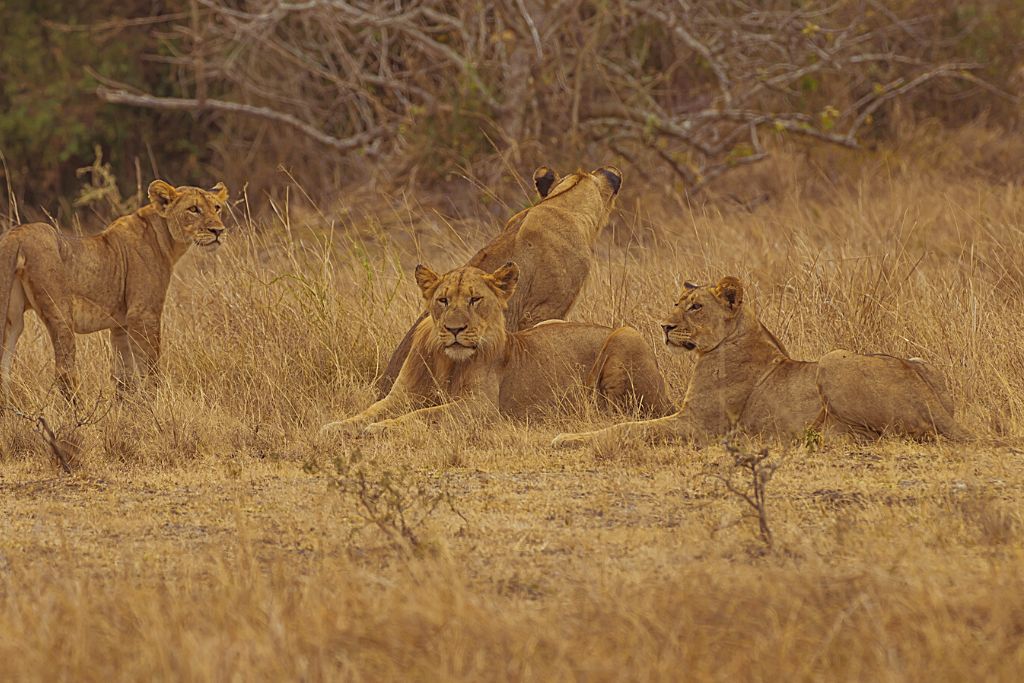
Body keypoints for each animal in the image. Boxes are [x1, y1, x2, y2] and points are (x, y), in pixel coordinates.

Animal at [0, 179, 228, 401]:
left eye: (217, 208)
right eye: (194, 209)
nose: (218, 231)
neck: (167, 239)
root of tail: (16, 234)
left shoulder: (121, 325)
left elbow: (124, 374)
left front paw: (126, 406)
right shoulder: (144, 314)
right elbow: (151, 366)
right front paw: (157, 401)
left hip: (12, 320)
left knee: (4, 369)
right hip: (60, 312)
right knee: (64, 371)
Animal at [319, 262, 671, 432]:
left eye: (475, 299)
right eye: (443, 300)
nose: (455, 329)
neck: (448, 362)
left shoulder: (480, 407)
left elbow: (425, 415)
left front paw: (381, 429)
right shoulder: (401, 396)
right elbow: (369, 411)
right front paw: (337, 427)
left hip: (628, 334)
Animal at [552, 274, 966, 446]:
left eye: (696, 307)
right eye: (677, 304)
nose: (664, 327)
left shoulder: (701, 427)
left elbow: (627, 429)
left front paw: (567, 438)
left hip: (833, 359)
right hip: (916, 360)